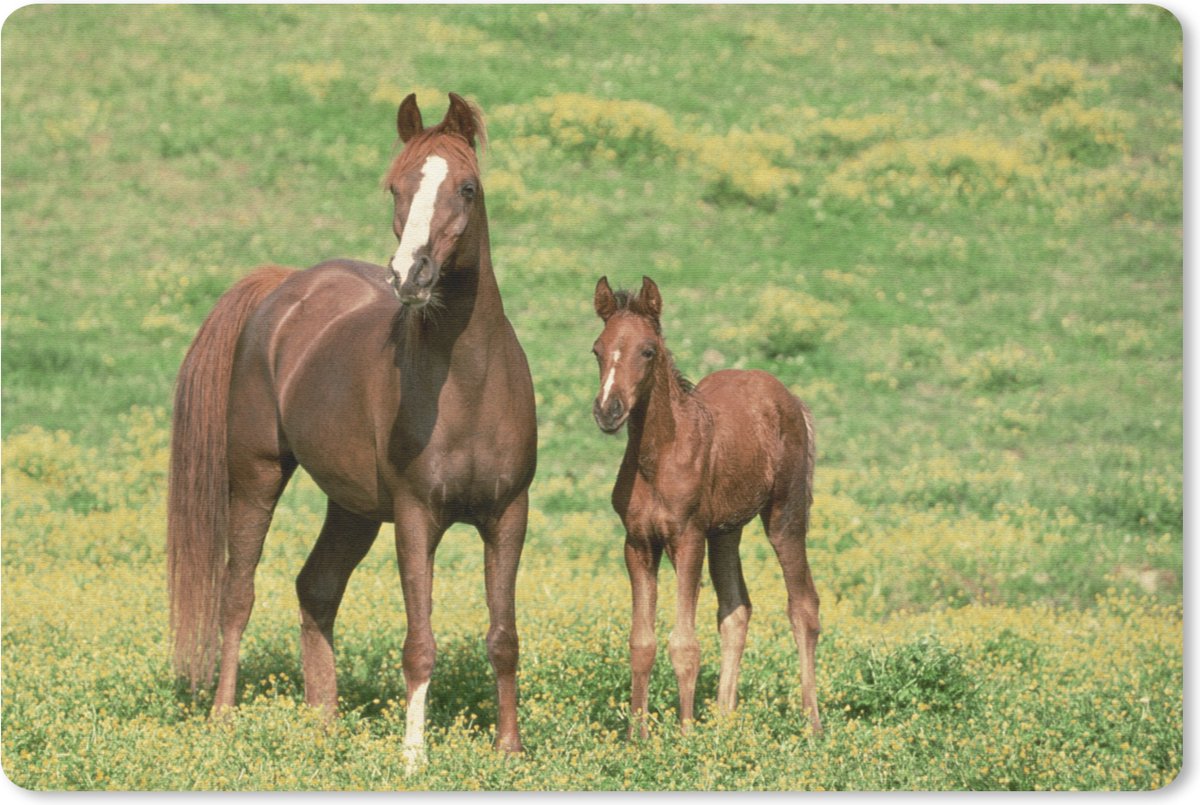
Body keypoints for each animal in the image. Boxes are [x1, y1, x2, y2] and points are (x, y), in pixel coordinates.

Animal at [167, 93, 537, 768]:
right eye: (396, 186)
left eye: (468, 187)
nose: (411, 276)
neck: (469, 386)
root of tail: (285, 285)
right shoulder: (417, 517)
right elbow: (420, 642)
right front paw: (414, 757)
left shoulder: (508, 515)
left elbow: (503, 637)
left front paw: (510, 751)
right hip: (256, 475)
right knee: (238, 594)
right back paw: (224, 718)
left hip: (354, 507)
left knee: (316, 588)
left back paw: (324, 726)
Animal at [590, 275, 821, 738]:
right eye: (598, 350)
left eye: (648, 350)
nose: (608, 411)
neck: (658, 458)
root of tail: (790, 399)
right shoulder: (637, 543)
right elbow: (642, 642)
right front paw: (638, 738)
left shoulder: (687, 538)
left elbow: (684, 644)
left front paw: (685, 737)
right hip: (726, 531)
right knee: (736, 610)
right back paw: (724, 725)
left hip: (784, 515)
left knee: (804, 606)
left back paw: (813, 726)